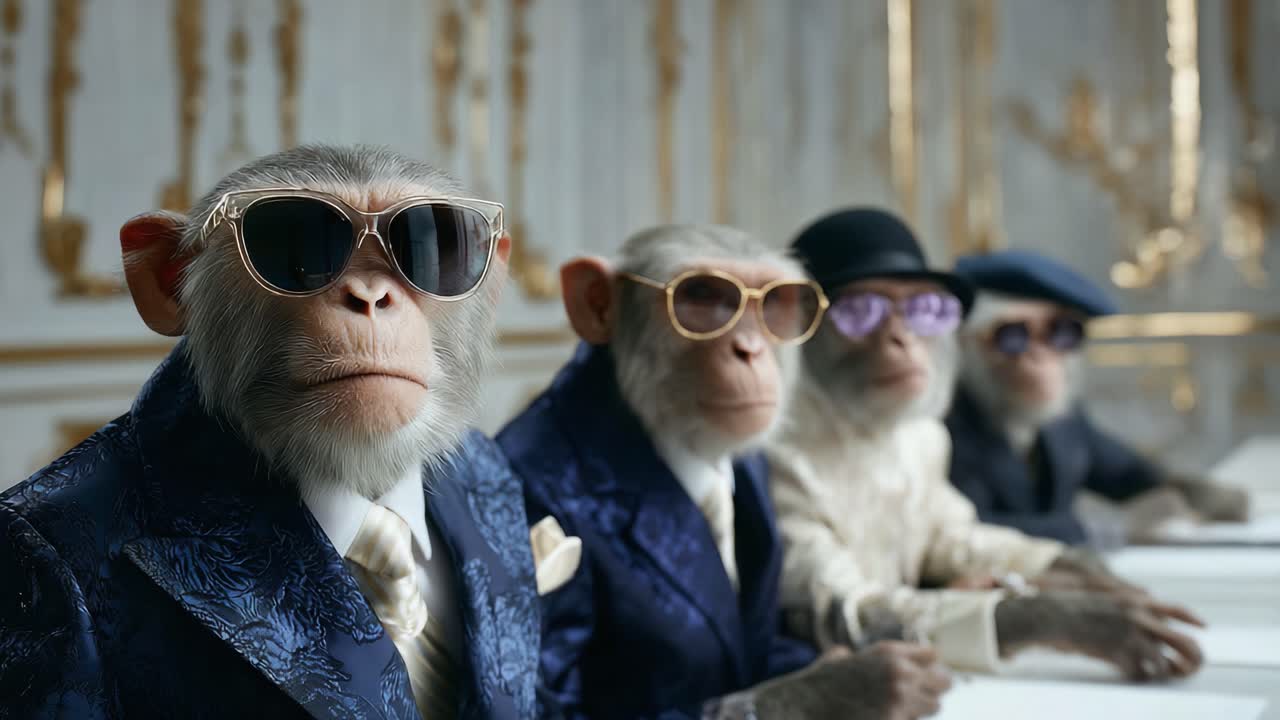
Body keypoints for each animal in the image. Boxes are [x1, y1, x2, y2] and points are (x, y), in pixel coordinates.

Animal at [768, 208, 1205, 685]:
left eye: (926, 309)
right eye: (860, 310)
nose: (902, 338)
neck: (862, 428)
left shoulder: (936, 451)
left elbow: (956, 535)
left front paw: (1087, 575)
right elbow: (850, 605)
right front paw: (1084, 614)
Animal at [947, 249, 1251, 546]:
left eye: (1062, 333)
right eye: (1011, 336)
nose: (1039, 356)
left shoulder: (1078, 422)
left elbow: (1127, 468)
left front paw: (1216, 498)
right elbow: (985, 521)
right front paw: (1154, 511)